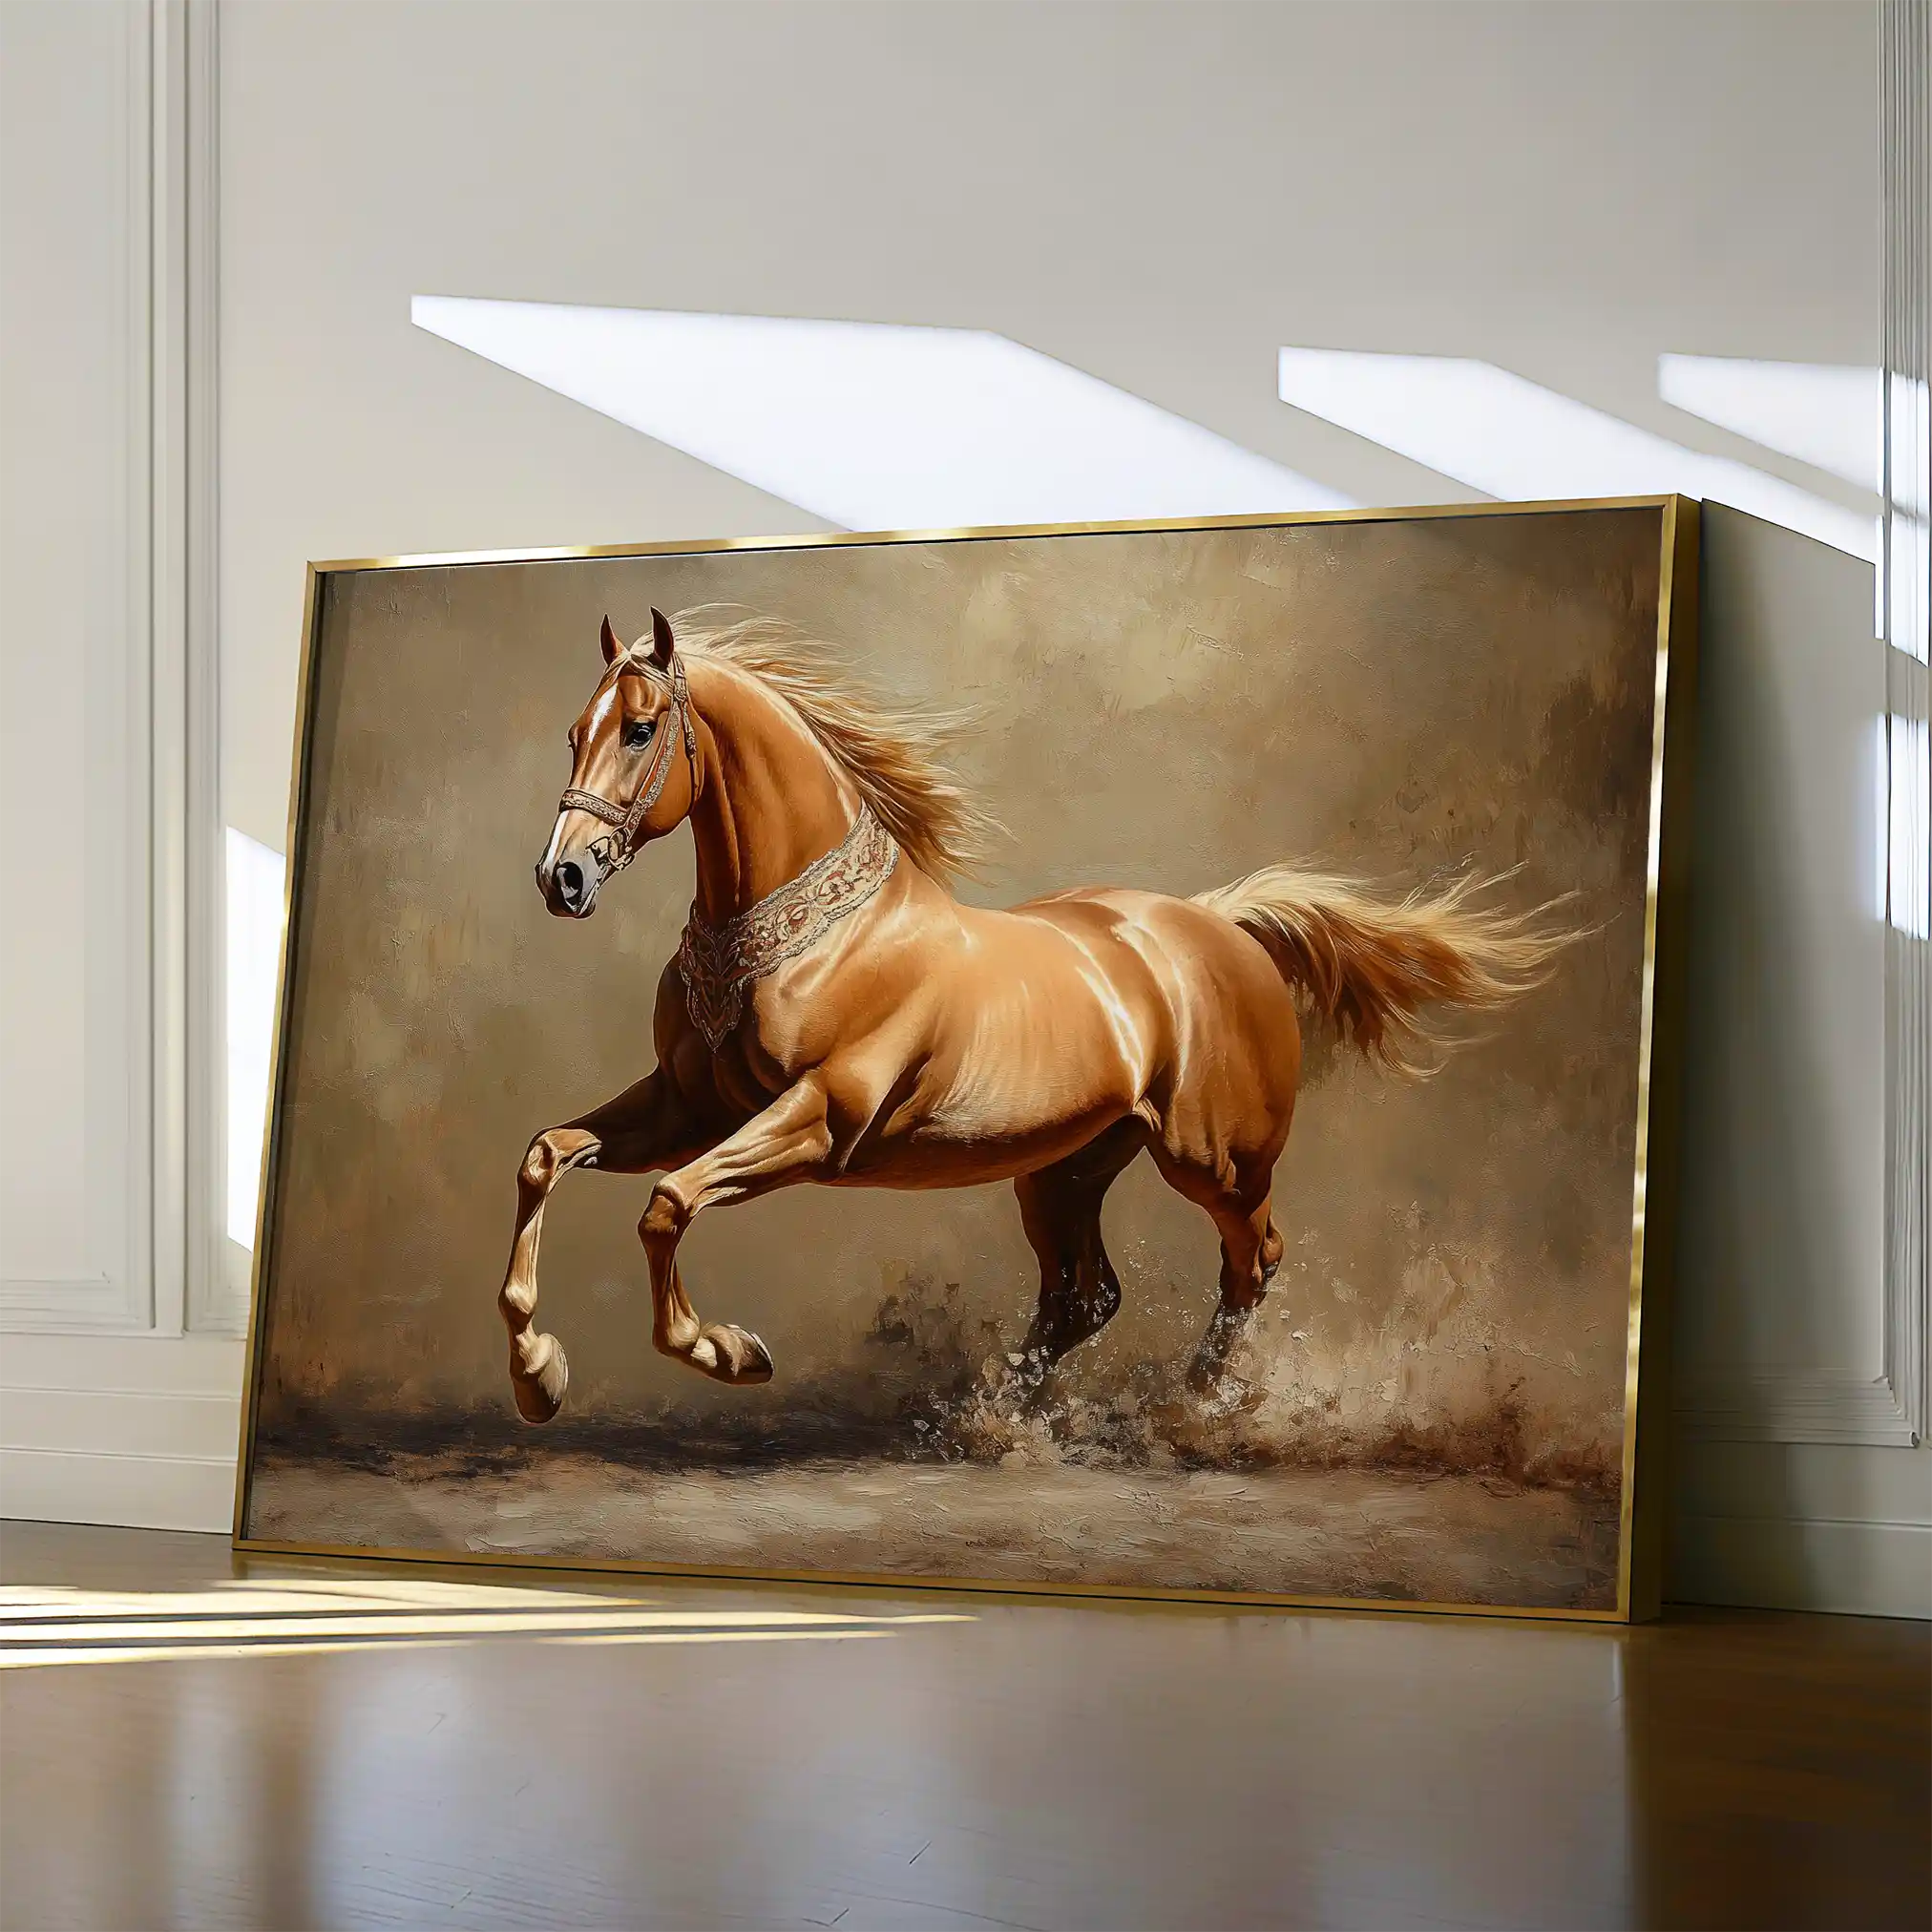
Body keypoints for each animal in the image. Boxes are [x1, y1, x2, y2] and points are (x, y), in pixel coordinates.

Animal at [498, 606, 1572, 1427]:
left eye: (639, 730)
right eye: (573, 732)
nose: (561, 877)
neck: (811, 934)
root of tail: (1218, 922)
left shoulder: (819, 1119)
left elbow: (668, 1204)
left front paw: (727, 1350)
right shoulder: (689, 1106)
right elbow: (548, 1155)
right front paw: (537, 1374)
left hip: (1214, 1163)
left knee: (1251, 1262)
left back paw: (1190, 1408)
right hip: (1063, 1169)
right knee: (1081, 1296)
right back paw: (999, 1420)